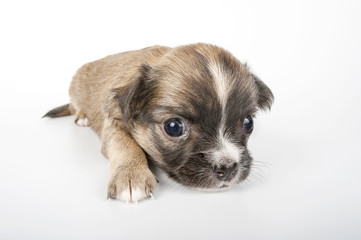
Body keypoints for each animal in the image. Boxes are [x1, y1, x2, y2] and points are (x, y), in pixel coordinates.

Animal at [43, 43, 272, 202]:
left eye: (248, 123)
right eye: (174, 127)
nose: (228, 168)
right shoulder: (115, 125)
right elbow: (127, 146)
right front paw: (131, 175)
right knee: (76, 107)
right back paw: (83, 117)